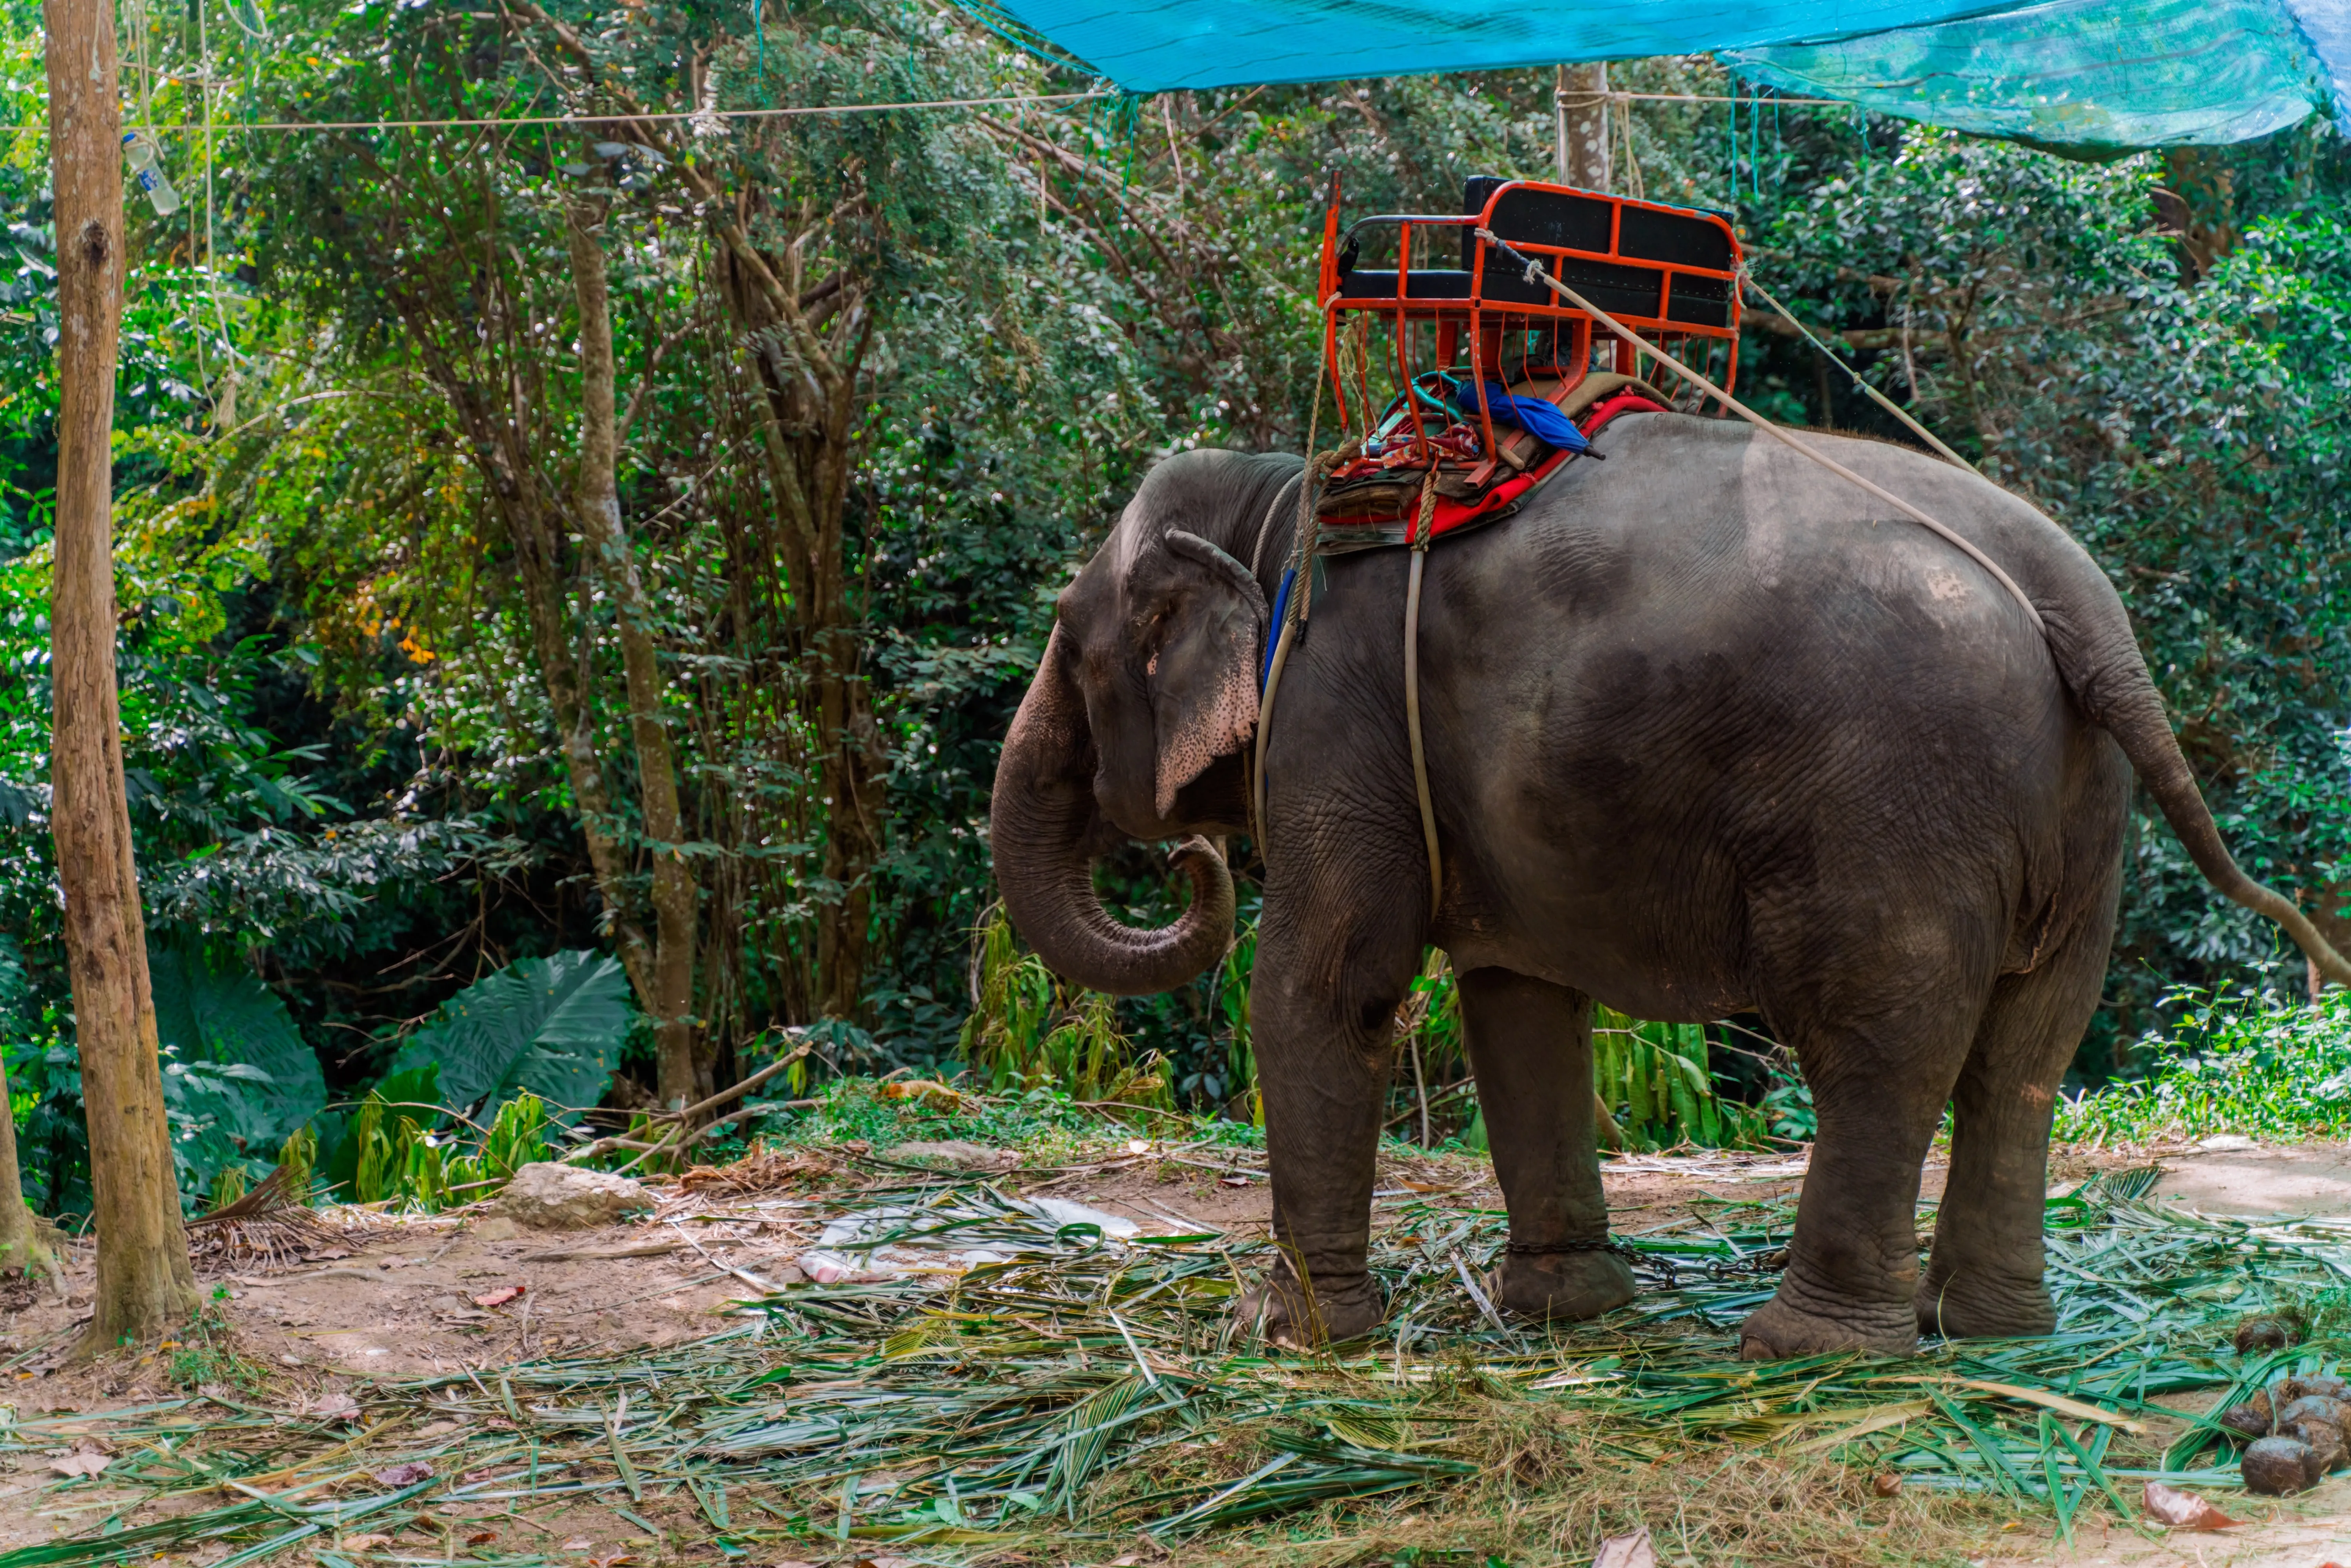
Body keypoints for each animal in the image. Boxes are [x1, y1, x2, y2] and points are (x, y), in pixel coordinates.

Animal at [988, 414, 2351, 1358]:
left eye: (1068, 640)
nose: (1190, 859)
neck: (1279, 494)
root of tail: (2080, 603)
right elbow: (1514, 1002)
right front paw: (1564, 1314)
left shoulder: (1332, 712)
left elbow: (1328, 990)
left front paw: (1295, 1340)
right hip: (2081, 813)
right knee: (2026, 1047)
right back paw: (1984, 1329)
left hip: (1893, 800)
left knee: (1880, 1042)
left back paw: (1806, 1348)